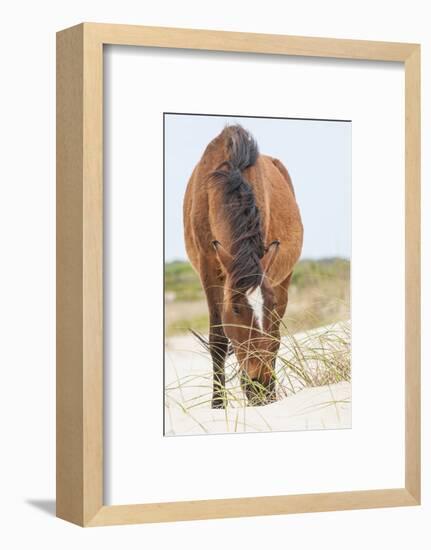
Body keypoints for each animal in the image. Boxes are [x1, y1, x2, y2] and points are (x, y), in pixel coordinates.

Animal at [183, 126, 304, 410]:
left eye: (269, 304)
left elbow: (271, 338)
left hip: (284, 278)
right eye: (236, 309)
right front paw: (218, 405)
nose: (259, 384)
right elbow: (218, 340)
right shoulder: (208, 268)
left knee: (276, 337)